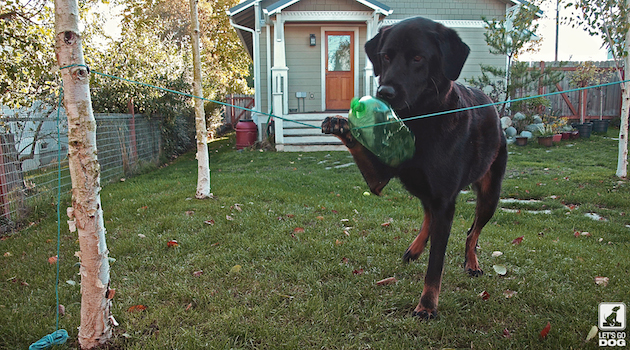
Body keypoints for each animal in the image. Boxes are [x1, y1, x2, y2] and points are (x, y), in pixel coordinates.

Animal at [324, 16, 512, 318]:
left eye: (418, 58)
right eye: (386, 56)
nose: (384, 92)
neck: (419, 122)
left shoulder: (445, 201)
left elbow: (436, 264)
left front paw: (427, 305)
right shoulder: (378, 180)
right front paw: (341, 124)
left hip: (490, 195)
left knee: (471, 231)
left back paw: (471, 263)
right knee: (428, 214)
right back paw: (415, 248)